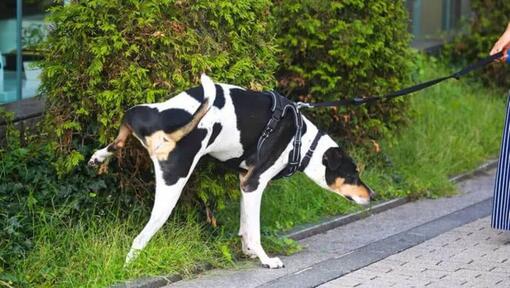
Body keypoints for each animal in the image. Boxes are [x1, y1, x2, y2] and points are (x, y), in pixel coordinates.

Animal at [88, 73, 374, 268]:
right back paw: (129, 265)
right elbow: (254, 230)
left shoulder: (244, 182)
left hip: (138, 113)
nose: (373, 195)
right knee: (140, 238)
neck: (301, 142)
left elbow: (245, 226)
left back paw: (99, 156)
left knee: (121, 134)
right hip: (171, 188)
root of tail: (162, 127)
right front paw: (265, 259)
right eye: (353, 175)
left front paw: (248, 252)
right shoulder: (254, 185)